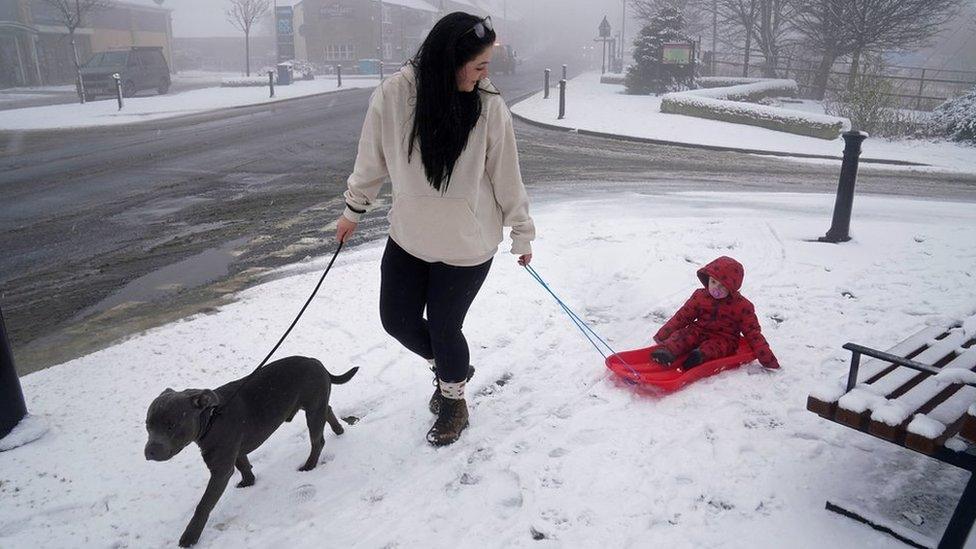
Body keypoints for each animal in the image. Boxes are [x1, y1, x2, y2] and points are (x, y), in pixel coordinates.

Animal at [145, 356, 358, 544]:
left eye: (171, 425)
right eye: (148, 425)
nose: (149, 452)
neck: (211, 418)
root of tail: (317, 362)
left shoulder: (220, 470)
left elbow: (203, 505)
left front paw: (190, 537)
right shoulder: (235, 452)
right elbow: (243, 465)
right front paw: (248, 482)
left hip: (313, 410)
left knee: (317, 440)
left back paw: (310, 465)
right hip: (315, 407)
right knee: (328, 411)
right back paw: (338, 430)